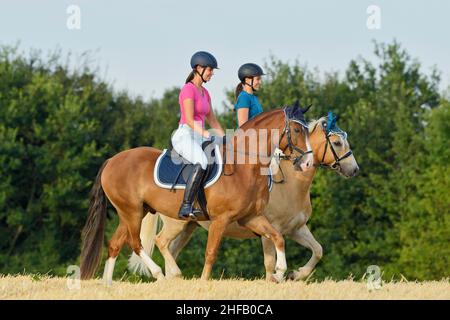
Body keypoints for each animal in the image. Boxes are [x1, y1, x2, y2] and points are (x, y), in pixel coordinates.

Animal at [80, 104, 312, 284]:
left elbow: (278, 238)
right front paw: (203, 282)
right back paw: (162, 275)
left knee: (115, 244)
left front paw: (281, 272)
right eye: (297, 130)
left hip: (131, 212)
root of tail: (112, 160)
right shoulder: (221, 219)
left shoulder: (251, 217)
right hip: (134, 212)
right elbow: (211, 253)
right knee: (137, 243)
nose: (308, 163)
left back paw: (108, 285)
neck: (244, 165)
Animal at [129, 114, 358, 282]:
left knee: (172, 249)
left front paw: (296, 274)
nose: (354, 169)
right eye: (337, 142)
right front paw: (276, 278)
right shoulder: (271, 228)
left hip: (188, 226)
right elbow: (270, 262)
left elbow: (318, 250)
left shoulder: (296, 228)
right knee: (163, 243)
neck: (292, 184)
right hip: (176, 223)